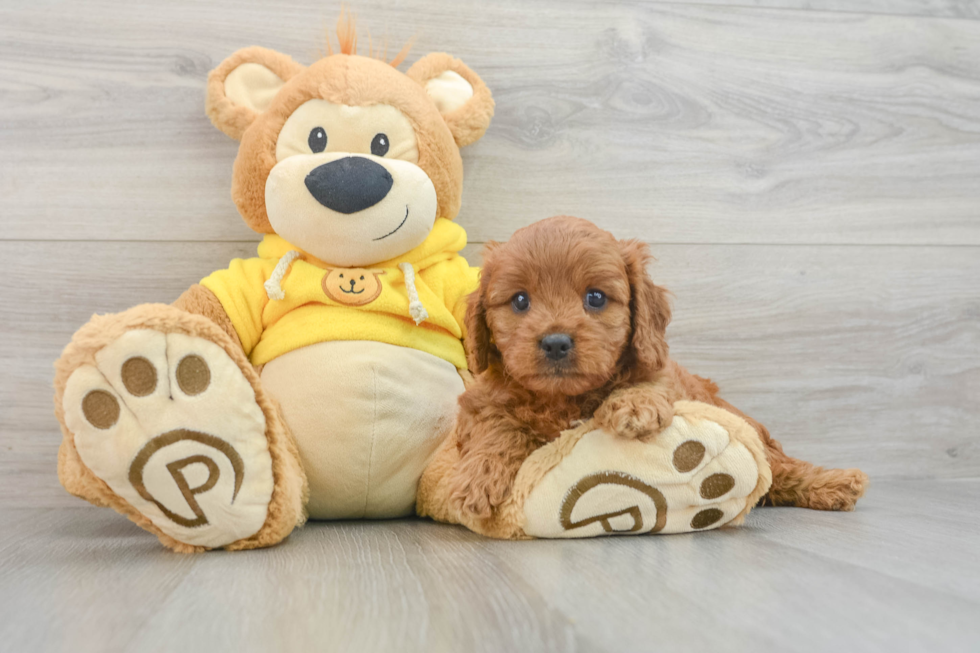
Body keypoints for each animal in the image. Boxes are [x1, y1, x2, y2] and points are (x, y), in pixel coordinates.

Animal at [448, 214, 868, 520]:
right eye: (520, 301)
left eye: (596, 297)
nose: (555, 342)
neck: (562, 398)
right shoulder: (482, 402)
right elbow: (496, 431)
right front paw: (473, 482)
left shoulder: (660, 371)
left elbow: (647, 383)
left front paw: (634, 406)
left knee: (780, 468)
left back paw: (836, 484)